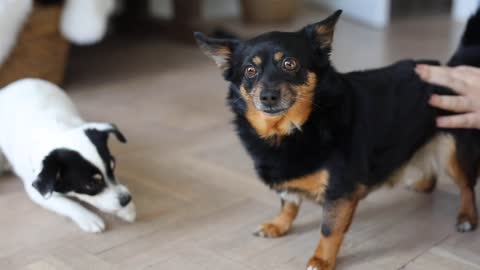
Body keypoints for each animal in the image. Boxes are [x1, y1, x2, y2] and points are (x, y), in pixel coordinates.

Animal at [195, 8, 480, 270]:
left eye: (290, 64)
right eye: (250, 70)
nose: (268, 96)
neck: (294, 128)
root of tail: (448, 68)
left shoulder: (340, 192)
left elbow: (329, 230)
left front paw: (321, 260)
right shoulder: (289, 181)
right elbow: (288, 203)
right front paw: (279, 225)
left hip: (453, 151)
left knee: (466, 186)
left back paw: (467, 217)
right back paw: (424, 183)